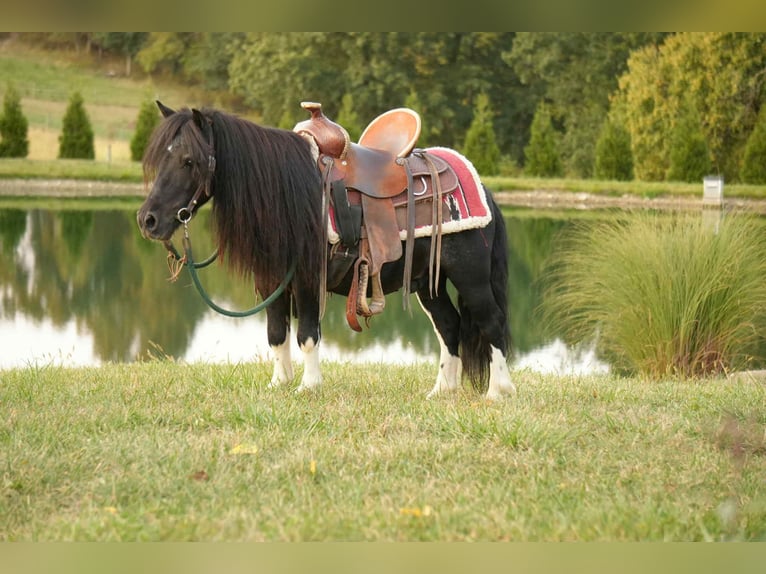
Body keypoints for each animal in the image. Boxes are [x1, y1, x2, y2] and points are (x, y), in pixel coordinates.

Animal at [136, 102, 516, 399]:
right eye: (161, 159)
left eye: (189, 160)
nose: (148, 220)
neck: (288, 194)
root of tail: (483, 189)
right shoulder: (271, 279)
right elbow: (276, 334)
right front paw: (279, 383)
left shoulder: (307, 278)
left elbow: (306, 334)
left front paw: (308, 386)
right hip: (427, 281)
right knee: (449, 325)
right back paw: (441, 391)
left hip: (470, 276)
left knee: (491, 321)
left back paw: (498, 391)